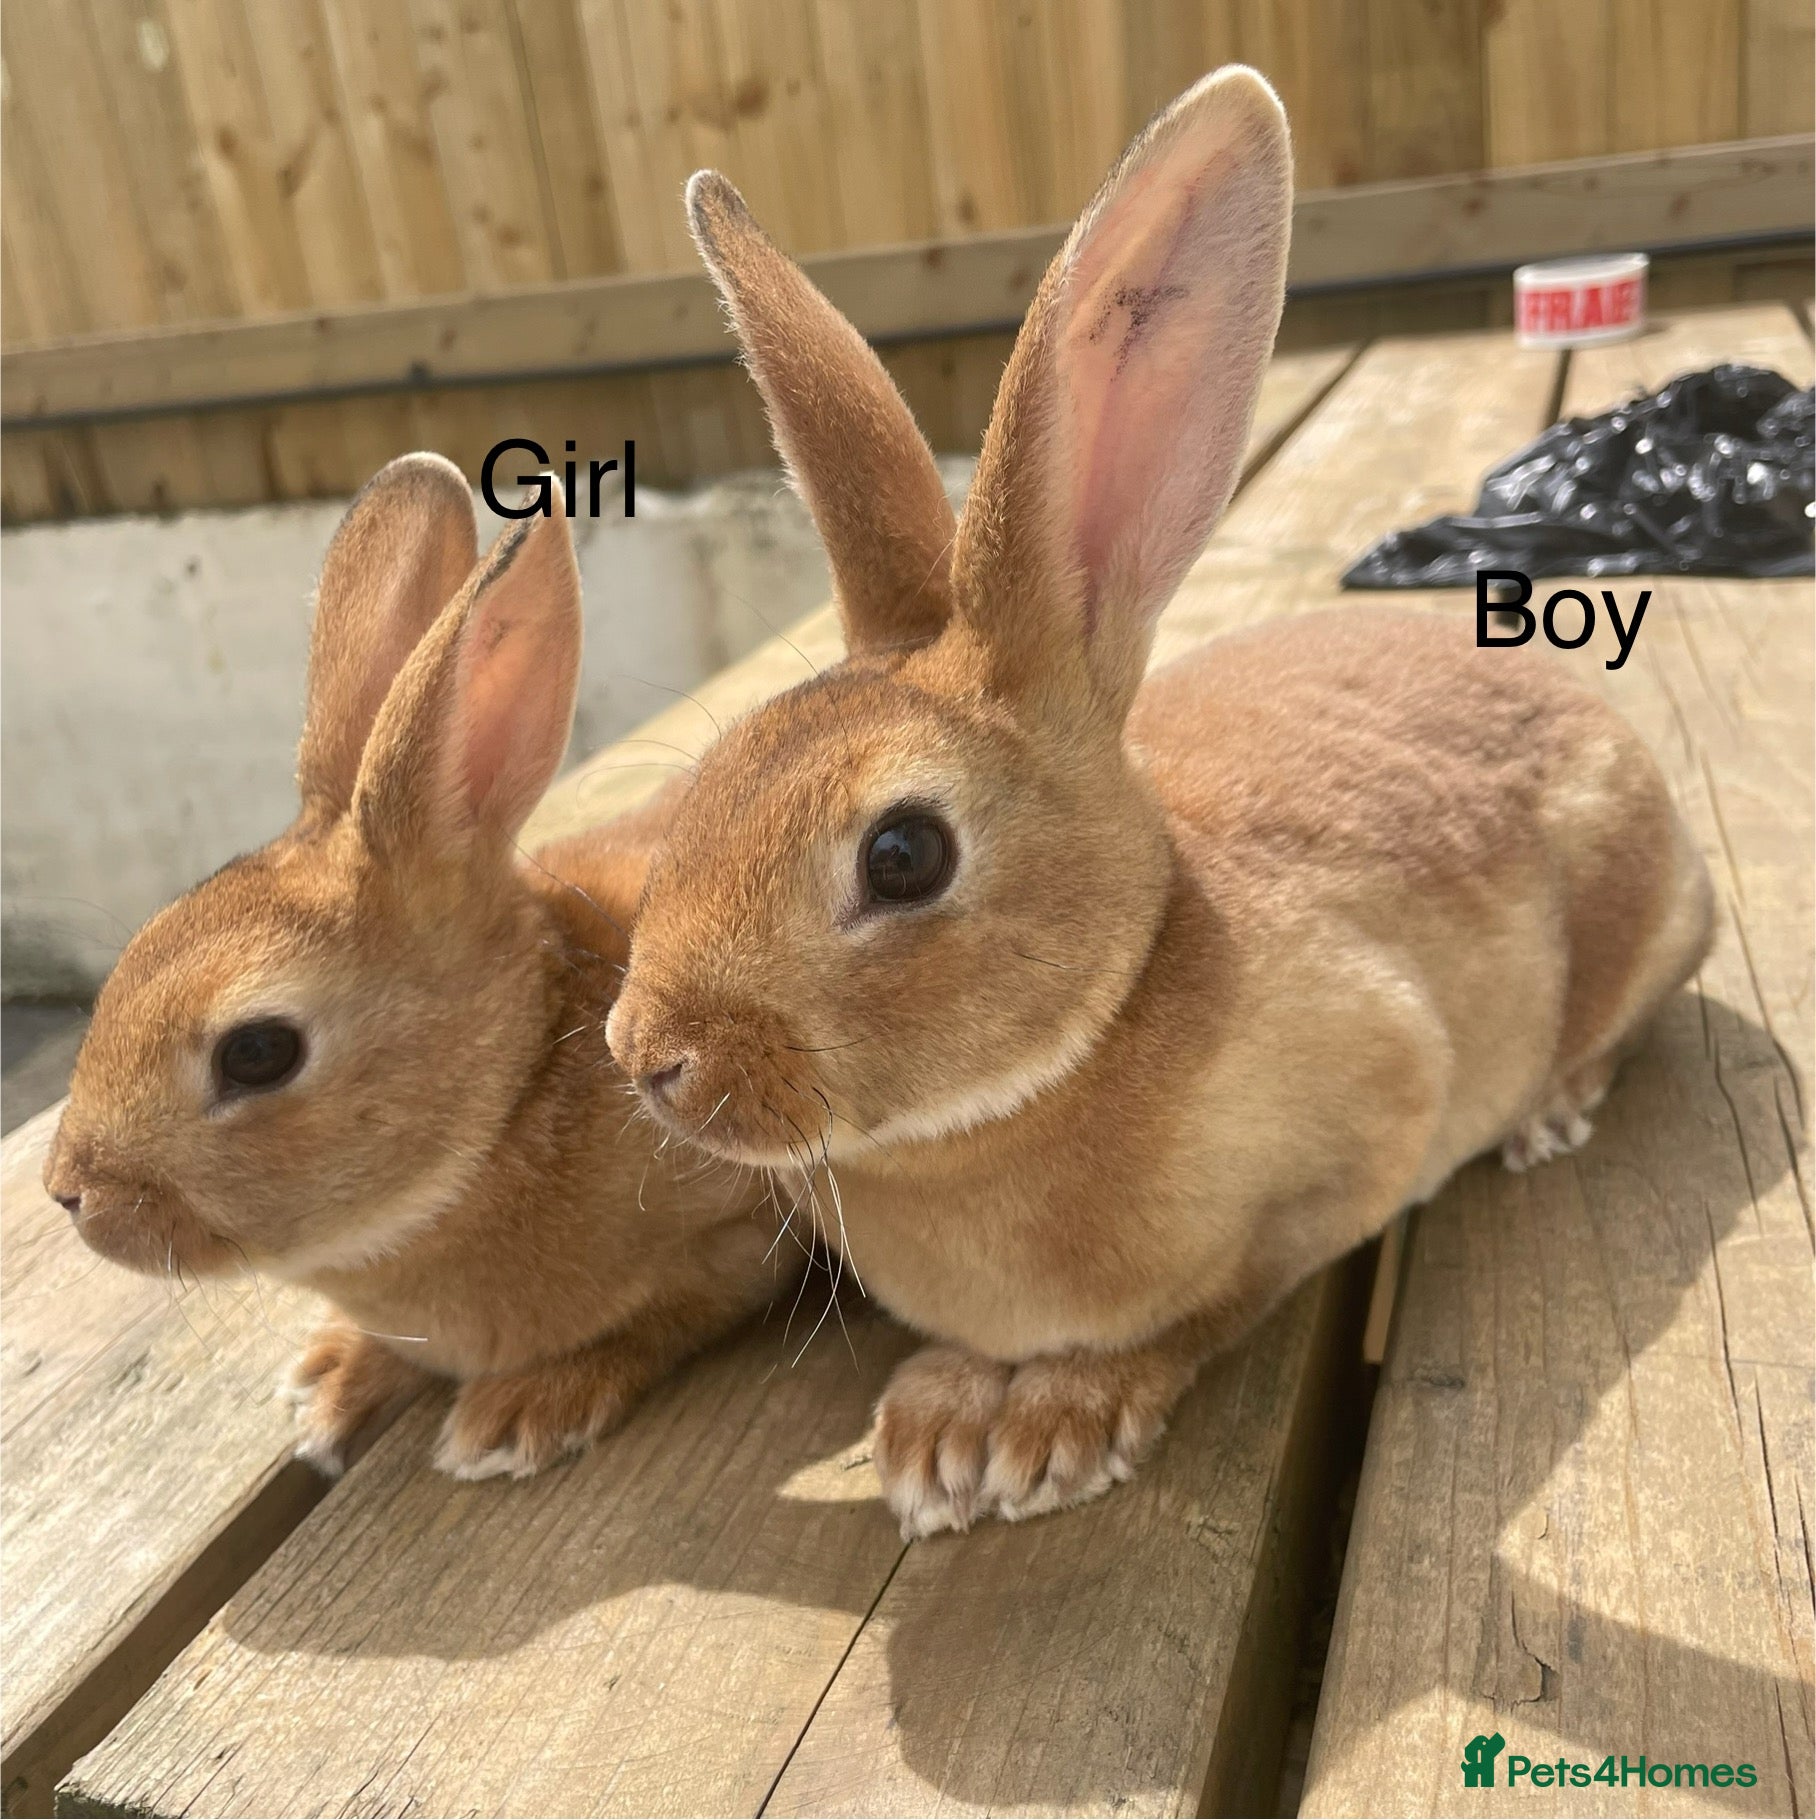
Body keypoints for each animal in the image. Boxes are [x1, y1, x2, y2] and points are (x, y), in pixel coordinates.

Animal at [43, 453, 794, 1482]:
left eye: (257, 1053)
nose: (72, 1193)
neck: (513, 1092)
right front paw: (332, 1383)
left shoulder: (743, 1228)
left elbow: (672, 1314)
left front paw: (517, 1416)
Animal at [602, 66, 1716, 1538]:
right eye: (711, 781)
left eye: (902, 854)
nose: (648, 1057)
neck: (1083, 1034)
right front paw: (940, 1433)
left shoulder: (1362, 1134)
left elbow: (1214, 1305)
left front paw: (1053, 1426)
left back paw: (1548, 1114)